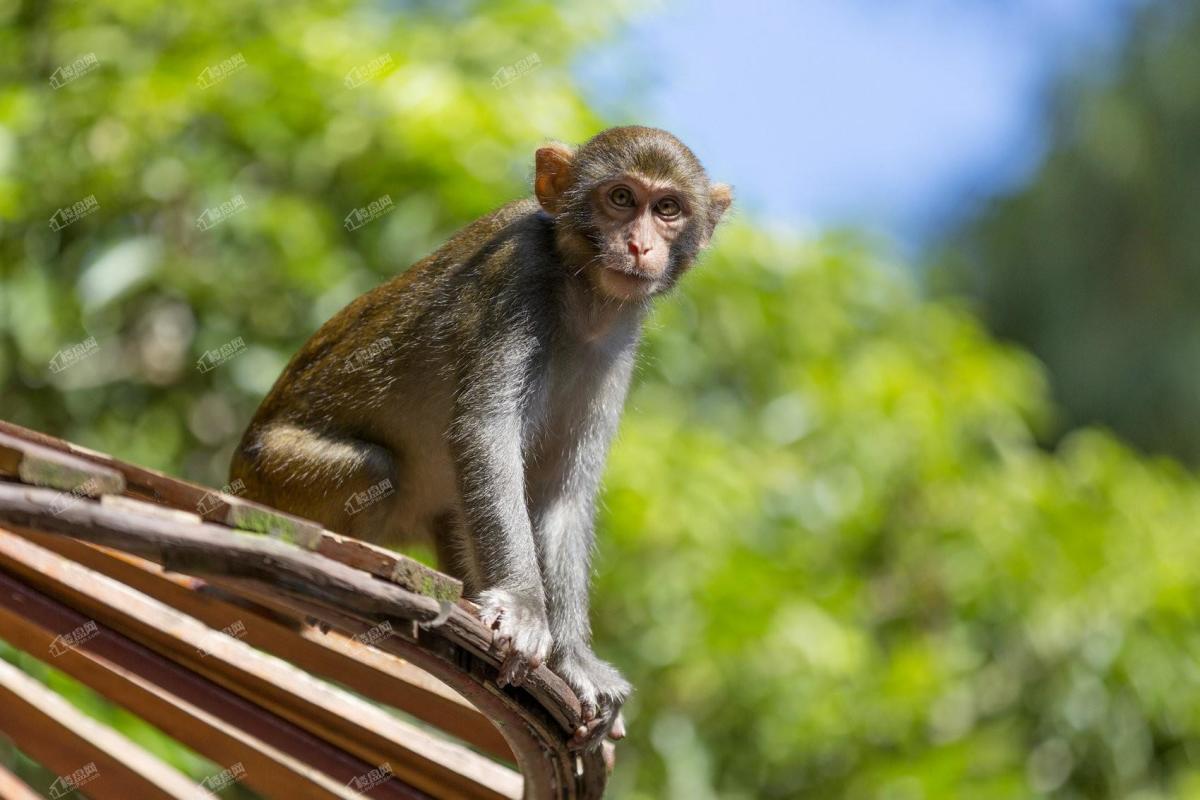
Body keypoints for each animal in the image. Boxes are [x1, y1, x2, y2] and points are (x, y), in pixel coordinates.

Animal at [225, 126, 729, 753]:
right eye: (620, 198)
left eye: (667, 209)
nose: (638, 245)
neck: (581, 292)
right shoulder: (519, 276)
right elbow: (485, 433)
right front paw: (523, 606)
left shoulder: (616, 343)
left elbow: (563, 498)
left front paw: (574, 662)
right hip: (266, 477)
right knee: (373, 468)